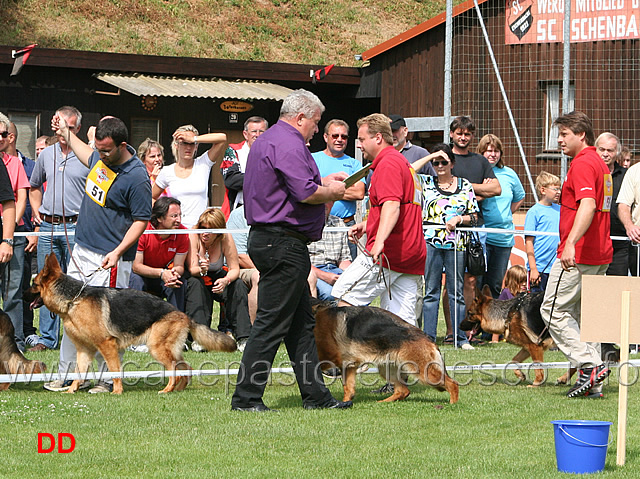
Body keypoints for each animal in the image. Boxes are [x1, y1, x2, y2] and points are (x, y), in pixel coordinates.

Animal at [24, 255, 238, 394]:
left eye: (33, 284)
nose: (21, 296)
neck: (73, 300)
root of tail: (183, 314)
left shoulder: (107, 345)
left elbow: (115, 370)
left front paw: (116, 392)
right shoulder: (84, 350)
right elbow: (78, 373)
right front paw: (70, 392)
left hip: (157, 348)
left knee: (174, 369)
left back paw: (167, 390)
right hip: (169, 348)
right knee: (185, 367)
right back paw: (178, 389)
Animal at [312, 304, 458, 404]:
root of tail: (428, 338)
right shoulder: (348, 365)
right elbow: (349, 388)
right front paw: (346, 403)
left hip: (423, 372)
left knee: (453, 384)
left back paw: (452, 404)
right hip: (386, 369)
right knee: (403, 391)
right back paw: (383, 402)